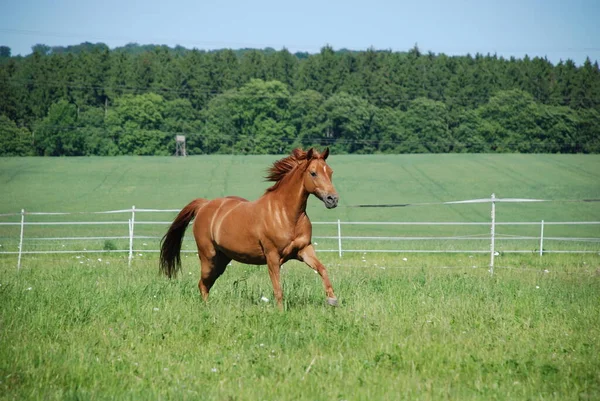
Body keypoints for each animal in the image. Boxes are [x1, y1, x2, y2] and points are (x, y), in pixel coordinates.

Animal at [158, 148, 338, 308]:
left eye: (330, 172)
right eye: (313, 173)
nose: (333, 199)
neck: (286, 214)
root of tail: (204, 205)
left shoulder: (304, 250)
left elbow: (322, 269)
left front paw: (332, 300)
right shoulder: (272, 256)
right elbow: (278, 290)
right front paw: (281, 313)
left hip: (222, 260)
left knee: (206, 284)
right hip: (208, 257)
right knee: (203, 284)